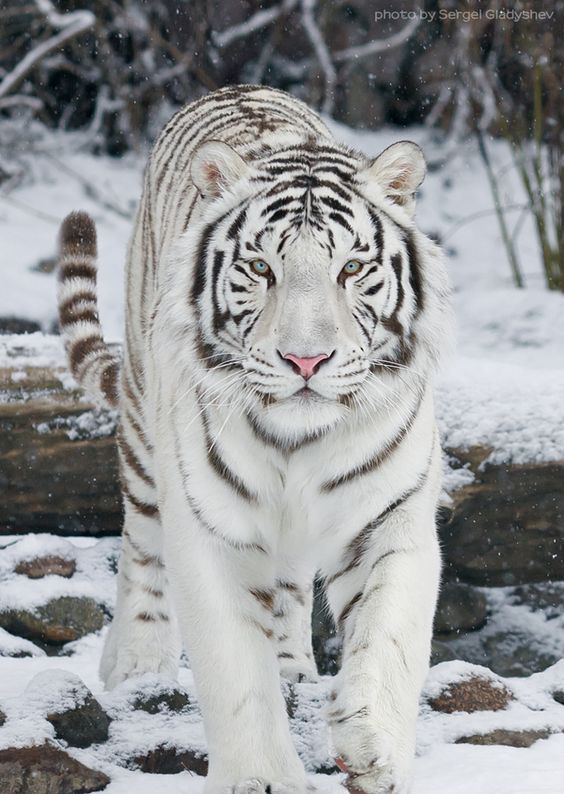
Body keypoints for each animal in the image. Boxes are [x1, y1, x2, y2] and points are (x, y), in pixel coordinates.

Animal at [57, 85, 452, 792]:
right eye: (261, 267)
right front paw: (263, 777)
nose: (306, 360)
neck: (299, 444)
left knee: (290, 589)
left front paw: (372, 746)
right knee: (141, 548)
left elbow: (389, 638)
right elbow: (235, 667)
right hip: (144, 436)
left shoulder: (389, 515)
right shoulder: (211, 527)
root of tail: (238, 88)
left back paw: (296, 668)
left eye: (353, 267)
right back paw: (136, 667)